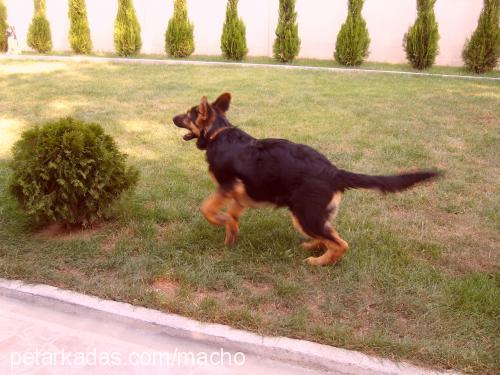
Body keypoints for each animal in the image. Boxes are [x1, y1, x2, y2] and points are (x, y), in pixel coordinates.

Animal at [172, 92, 438, 266]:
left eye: (187, 115)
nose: (172, 118)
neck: (218, 133)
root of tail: (334, 172)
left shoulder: (227, 186)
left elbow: (207, 209)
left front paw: (222, 222)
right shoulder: (241, 194)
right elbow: (233, 216)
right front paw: (231, 234)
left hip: (304, 215)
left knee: (340, 243)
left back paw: (319, 262)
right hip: (313, 216)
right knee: (330, 234)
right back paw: (314, 246)